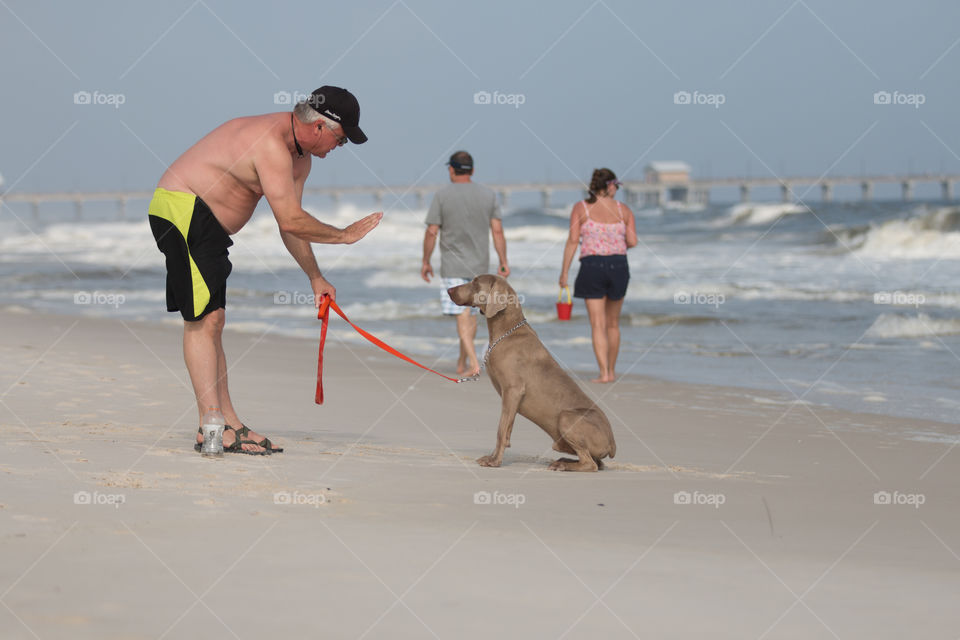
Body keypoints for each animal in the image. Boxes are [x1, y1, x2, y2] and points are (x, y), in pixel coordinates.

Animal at [448, 276, 620, 470]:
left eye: (476, 283)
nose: (449, 290)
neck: (506, 331)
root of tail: (612, 443)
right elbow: (506, 429)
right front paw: (494, 456)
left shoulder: (513, 390)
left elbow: (501, 429)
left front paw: (494, 461)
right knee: (596, 462)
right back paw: (563, 460)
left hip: (566, 417)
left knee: (590, 464)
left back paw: (562, 465)